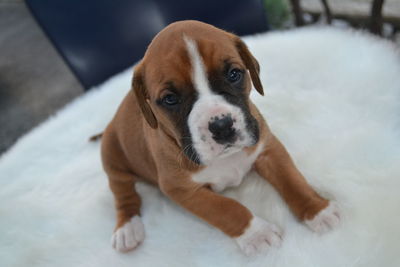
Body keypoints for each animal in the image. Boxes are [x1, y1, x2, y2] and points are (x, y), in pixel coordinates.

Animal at [101, 20, 340, 255]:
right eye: (170, 99)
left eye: (233, 74)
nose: (222, 126)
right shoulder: (182, 190)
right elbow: (225, 209)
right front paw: (257, 234)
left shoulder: (268, 149)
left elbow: (292, 180)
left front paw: (318, 210)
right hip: (113, 158)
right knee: (123, 194)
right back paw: (127, 229)